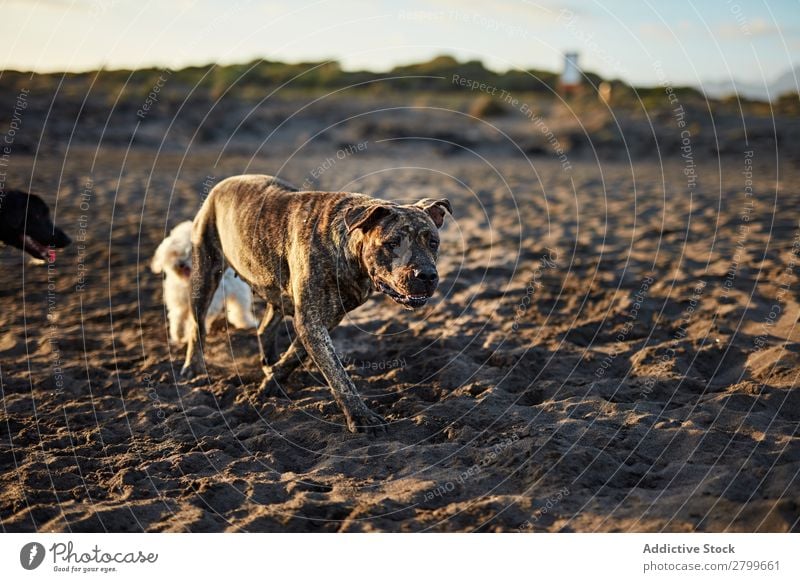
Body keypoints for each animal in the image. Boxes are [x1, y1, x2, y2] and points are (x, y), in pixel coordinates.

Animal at [182, 176, 454, 436]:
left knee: (266, 328)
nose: (426, 275)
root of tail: (221, 184)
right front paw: (361, 416)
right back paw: (192, 368)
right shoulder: (311, 322)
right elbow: (338, 375)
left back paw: (268, 361)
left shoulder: (323, 319)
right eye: (392, 243)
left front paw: (272, 380)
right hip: (204, 274)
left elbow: (296, 354)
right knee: (198, 327)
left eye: (433, 242)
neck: (346, 246)